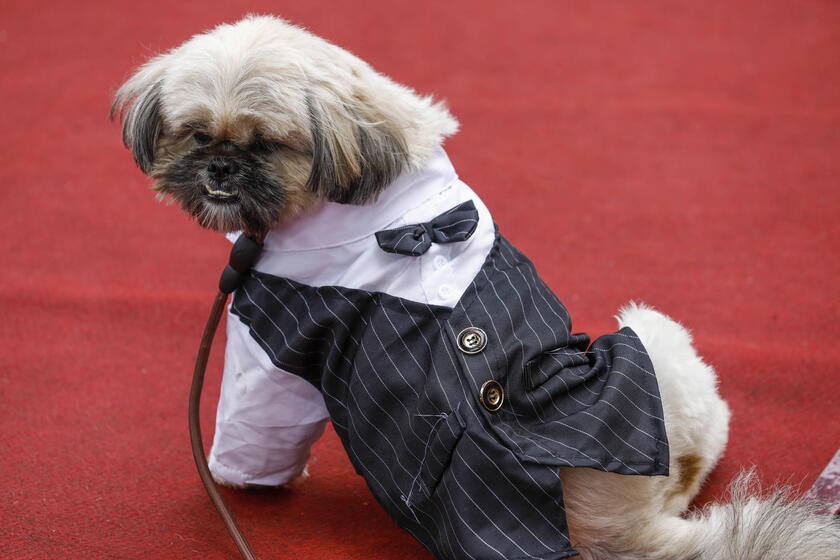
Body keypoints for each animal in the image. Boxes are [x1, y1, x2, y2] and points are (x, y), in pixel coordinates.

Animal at [113, 14, 840, 560]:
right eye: (195, 134)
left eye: (267, 145)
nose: (219, 169)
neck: (380, 194)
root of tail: (618, 535)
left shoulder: (266, 353)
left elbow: (255, 427)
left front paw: (239, 481)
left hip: (656, 339)